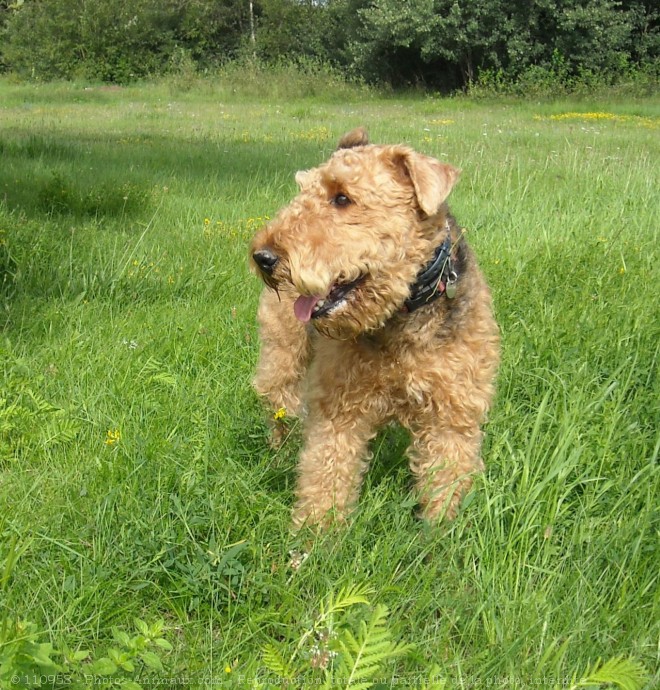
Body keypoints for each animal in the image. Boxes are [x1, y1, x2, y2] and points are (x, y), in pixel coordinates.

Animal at [250, 129, 498, 528]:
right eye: (302, 190)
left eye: (342, 197)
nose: (263, 256)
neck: (400, 313)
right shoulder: (338, 410)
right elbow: (326, 474)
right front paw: (314, 536)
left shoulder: (452, 413)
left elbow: (446, 478)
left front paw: (442, 532)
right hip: (282, 354)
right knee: (281, 405)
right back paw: (280, 452)